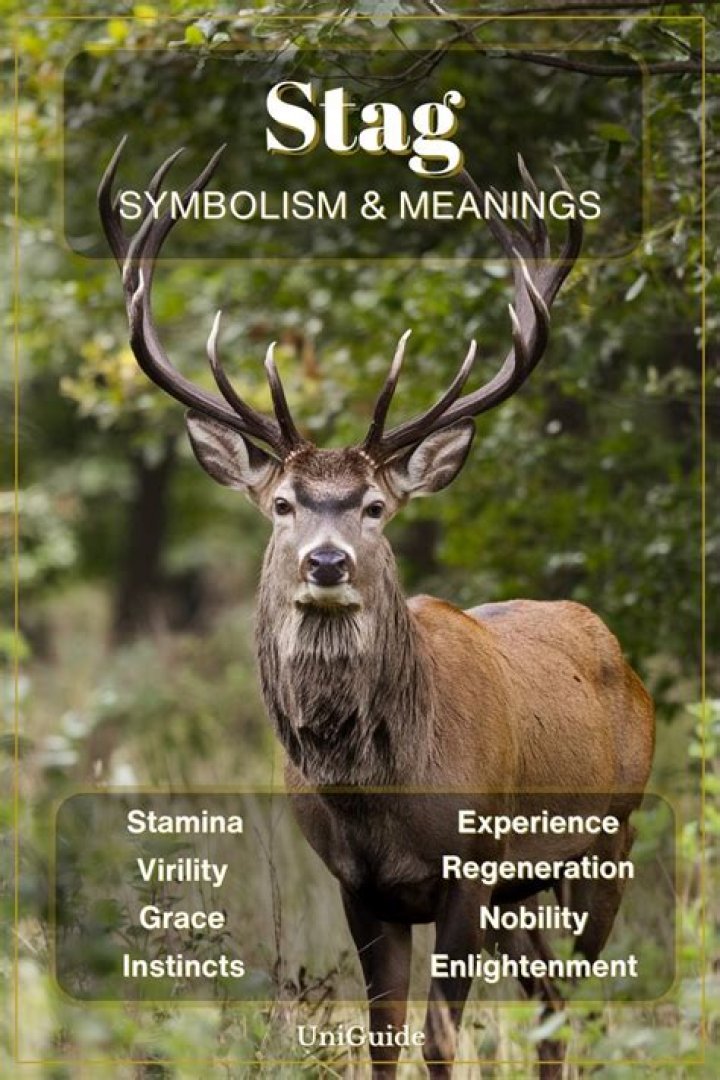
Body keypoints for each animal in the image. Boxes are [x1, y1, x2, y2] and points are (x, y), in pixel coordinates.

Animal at [99, 139, 655, 1079]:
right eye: (283, 503)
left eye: (374, 506)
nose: (326, 561)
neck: (381, 793)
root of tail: (617, 649)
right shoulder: (358, 885)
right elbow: (383, 1037)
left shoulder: (471, 862)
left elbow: (437, 1040)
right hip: (522, 888)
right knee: (552, 1003)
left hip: (609, 834)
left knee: (587, 996)